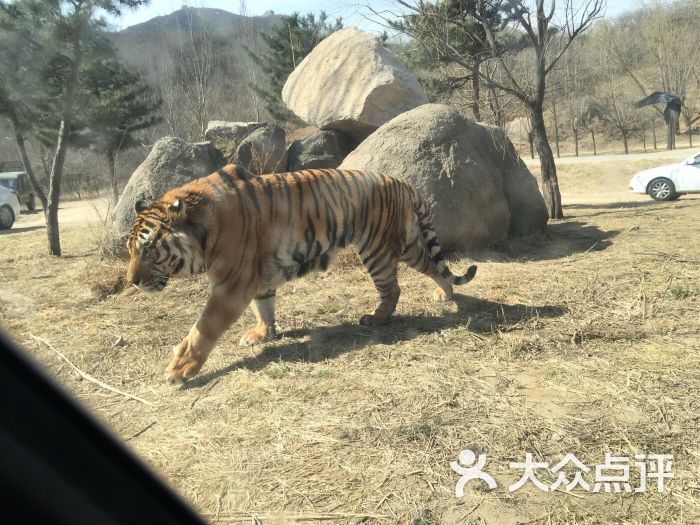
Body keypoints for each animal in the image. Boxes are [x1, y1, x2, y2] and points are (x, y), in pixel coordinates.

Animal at [126, 163, 476, 380]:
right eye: (130, 250)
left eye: (147, 249)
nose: (132, 281)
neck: (202, 229)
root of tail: (402, 182)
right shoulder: (257, 276)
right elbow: (264, 306)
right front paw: (262, 333)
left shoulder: (231, 285)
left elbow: (203, 328)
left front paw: (181, 367)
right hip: (409, 243)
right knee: (434, 266)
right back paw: (445, 294)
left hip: (376, 247)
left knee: (392, 288)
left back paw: (377, 318)